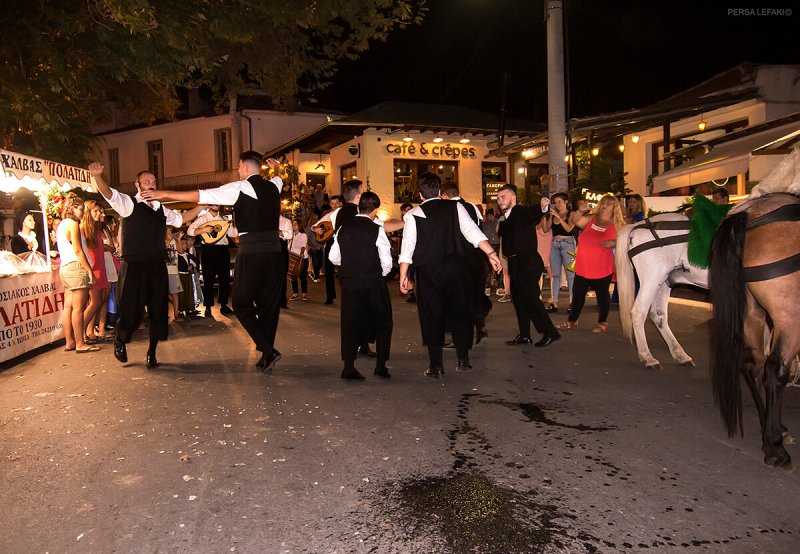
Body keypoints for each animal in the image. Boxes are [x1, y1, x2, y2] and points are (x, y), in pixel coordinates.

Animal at [616, 213, 708, 368]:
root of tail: (637, 225)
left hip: (663, 282)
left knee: (659, 316)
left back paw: (680, 354)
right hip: (652, 277)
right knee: (639, 312)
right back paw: (648, 357)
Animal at [708, 190, 796, 466]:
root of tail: (748, 212)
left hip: (751, 310)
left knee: (754, 364)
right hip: (788, 315)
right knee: (774, 368)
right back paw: (775, 445)